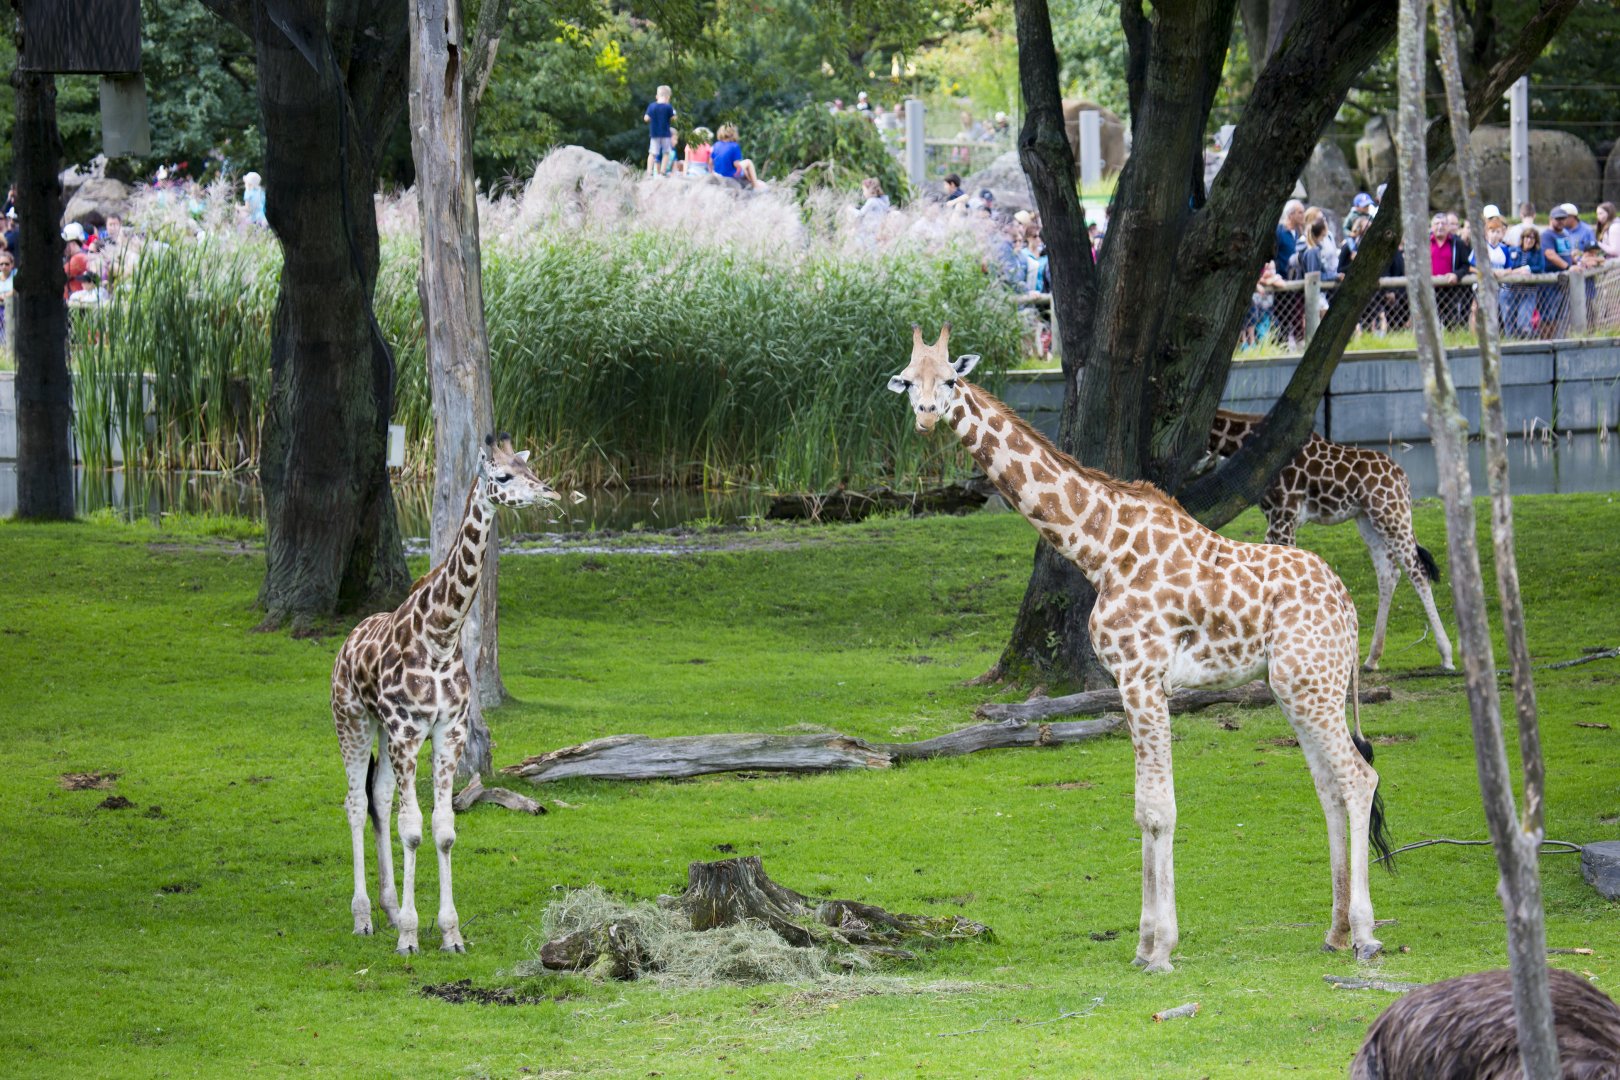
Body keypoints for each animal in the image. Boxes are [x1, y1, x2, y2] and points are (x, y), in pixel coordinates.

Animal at [331, 434, 558, 954]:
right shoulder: (407, 731)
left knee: (377, 799)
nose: (550, 492)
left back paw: (389, 909)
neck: (441, 634)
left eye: (529, 469)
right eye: (503, 476)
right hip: (352, 721)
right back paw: (363, 918)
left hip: (382, 731)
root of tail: (347, 640)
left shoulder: (446, 731)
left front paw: (450, 932)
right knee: (354, 804)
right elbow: (413, 830)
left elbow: (443, 830)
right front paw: (411, 936)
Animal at [889, 325, 1392, 972]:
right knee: (1329, 786)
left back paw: (1366, 934)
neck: (1099, 547)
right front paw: (1145, 944)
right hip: (1298, 687)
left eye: (951, 378)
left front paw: (1159, 949)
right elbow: (1141, 808)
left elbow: (1159, 809)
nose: (927, 416)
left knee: (1358, 778)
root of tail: (1348, 604)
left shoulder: (1142, 676)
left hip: (1312, 683)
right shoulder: (1130, 684)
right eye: (908, 380)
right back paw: (1333, 931)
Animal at [1207, 410, 1454, 671]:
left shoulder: (1285, 514)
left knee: (1417, 571)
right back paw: (1372, 658)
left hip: (1391, 513)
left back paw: (1446, 656)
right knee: (1388, 573)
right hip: (1367, 519)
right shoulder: (1274, 518)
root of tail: (1402, 477)